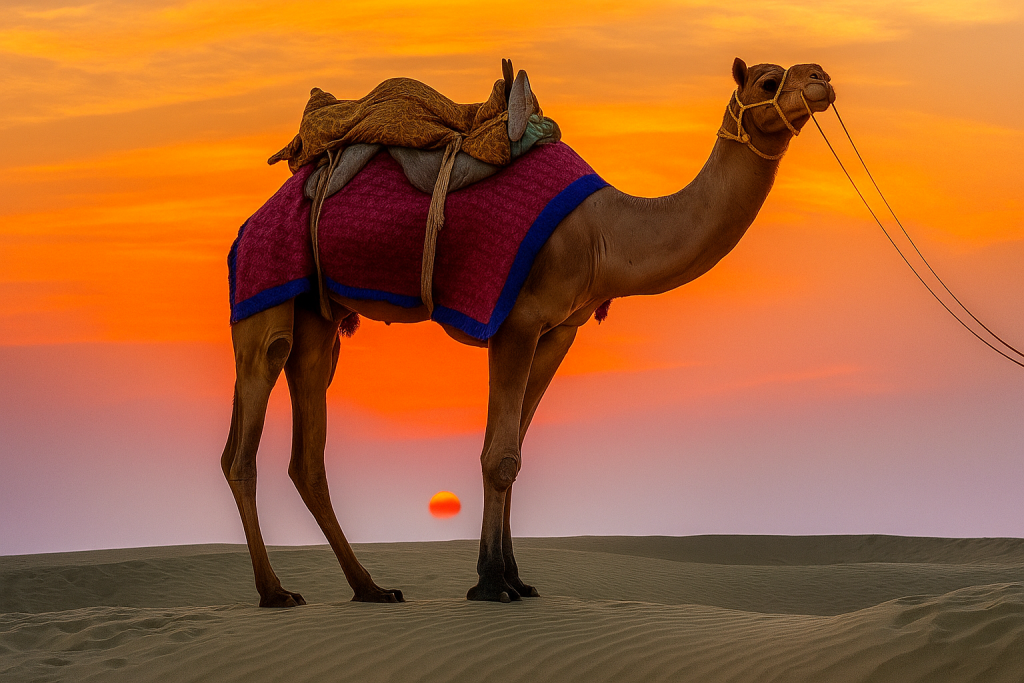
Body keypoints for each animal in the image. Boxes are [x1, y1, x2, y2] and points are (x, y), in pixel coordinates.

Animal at [221, 58, 836, 606]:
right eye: (768, 81)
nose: (822, 78)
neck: (605, 231)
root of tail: (251, 220)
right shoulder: (514, 320)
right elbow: (499, 455)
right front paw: (492, 584)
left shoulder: (559, 329)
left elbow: (515, 450)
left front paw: (515, 579)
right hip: (264, 291)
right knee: (244, 440)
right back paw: (275, 592)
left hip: (317, 317)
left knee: (308, 448)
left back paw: (371, 589)